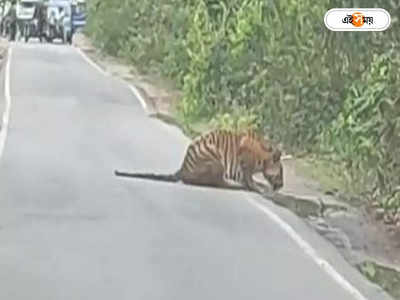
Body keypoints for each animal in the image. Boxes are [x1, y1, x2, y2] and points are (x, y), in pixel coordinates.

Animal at [114, 129, 284, 195]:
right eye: (281, 173)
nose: (282, 185)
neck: (263, 158)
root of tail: (182, 168)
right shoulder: (245, 167)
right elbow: (251, 181)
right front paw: (262, 189)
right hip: (215, 157)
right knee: (214, 182)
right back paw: (233, 185)